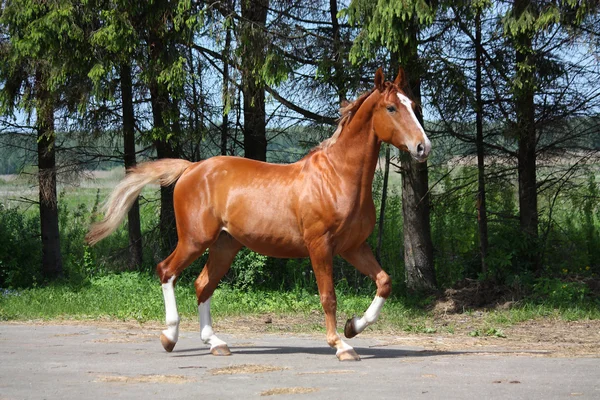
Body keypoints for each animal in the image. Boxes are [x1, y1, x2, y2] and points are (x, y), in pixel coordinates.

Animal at [85, 67, 432, 360]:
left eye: (413, 104)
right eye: (391, 108)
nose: (422, 147)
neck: (337, 177)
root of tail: (191, 168)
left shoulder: (352, 246)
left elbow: (384, 282)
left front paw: (353, 327)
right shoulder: (320, 246)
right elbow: (328, 296)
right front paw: (341, 345)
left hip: (225, 244)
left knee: (202, 284)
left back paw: (216, 343)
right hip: (195, 239)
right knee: (166, 271)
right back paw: (169, 337)